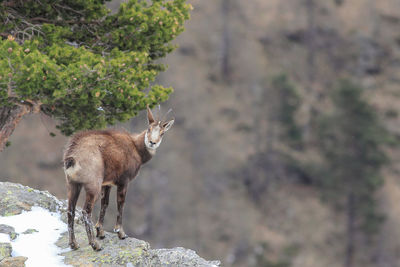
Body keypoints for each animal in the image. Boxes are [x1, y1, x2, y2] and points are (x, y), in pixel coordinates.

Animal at [64, 106, 173, 251]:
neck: (136, 148)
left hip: (73, 184)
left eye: (162, 133)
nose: (152, 142)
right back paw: (95, 245)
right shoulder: (124, 180)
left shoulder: (107, 183)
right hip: (93, 184)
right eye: (149, 128)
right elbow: (121, 203)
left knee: (70, 210)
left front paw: (101, 231)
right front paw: (120, 233)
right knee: (86, 211)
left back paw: (73, 244)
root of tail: (72, 157)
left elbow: (105, 203)